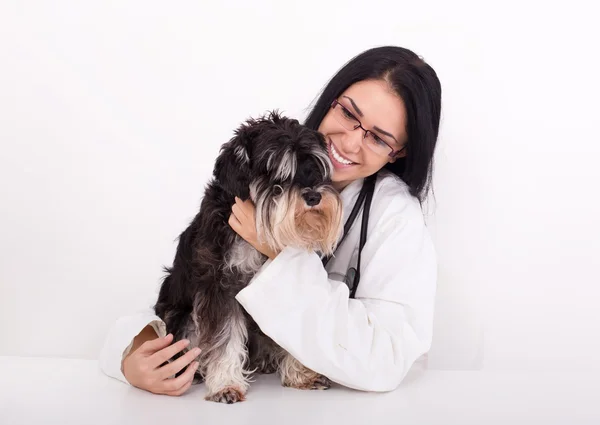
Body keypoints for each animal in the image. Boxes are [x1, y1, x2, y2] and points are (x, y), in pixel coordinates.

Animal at [154, 111, 342, 402]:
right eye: (275, 170)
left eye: (315, 164)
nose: (313, 196)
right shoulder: (221, 285)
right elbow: (225, 337)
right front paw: (225, 385)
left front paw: (303, 375)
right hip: (180, 315)